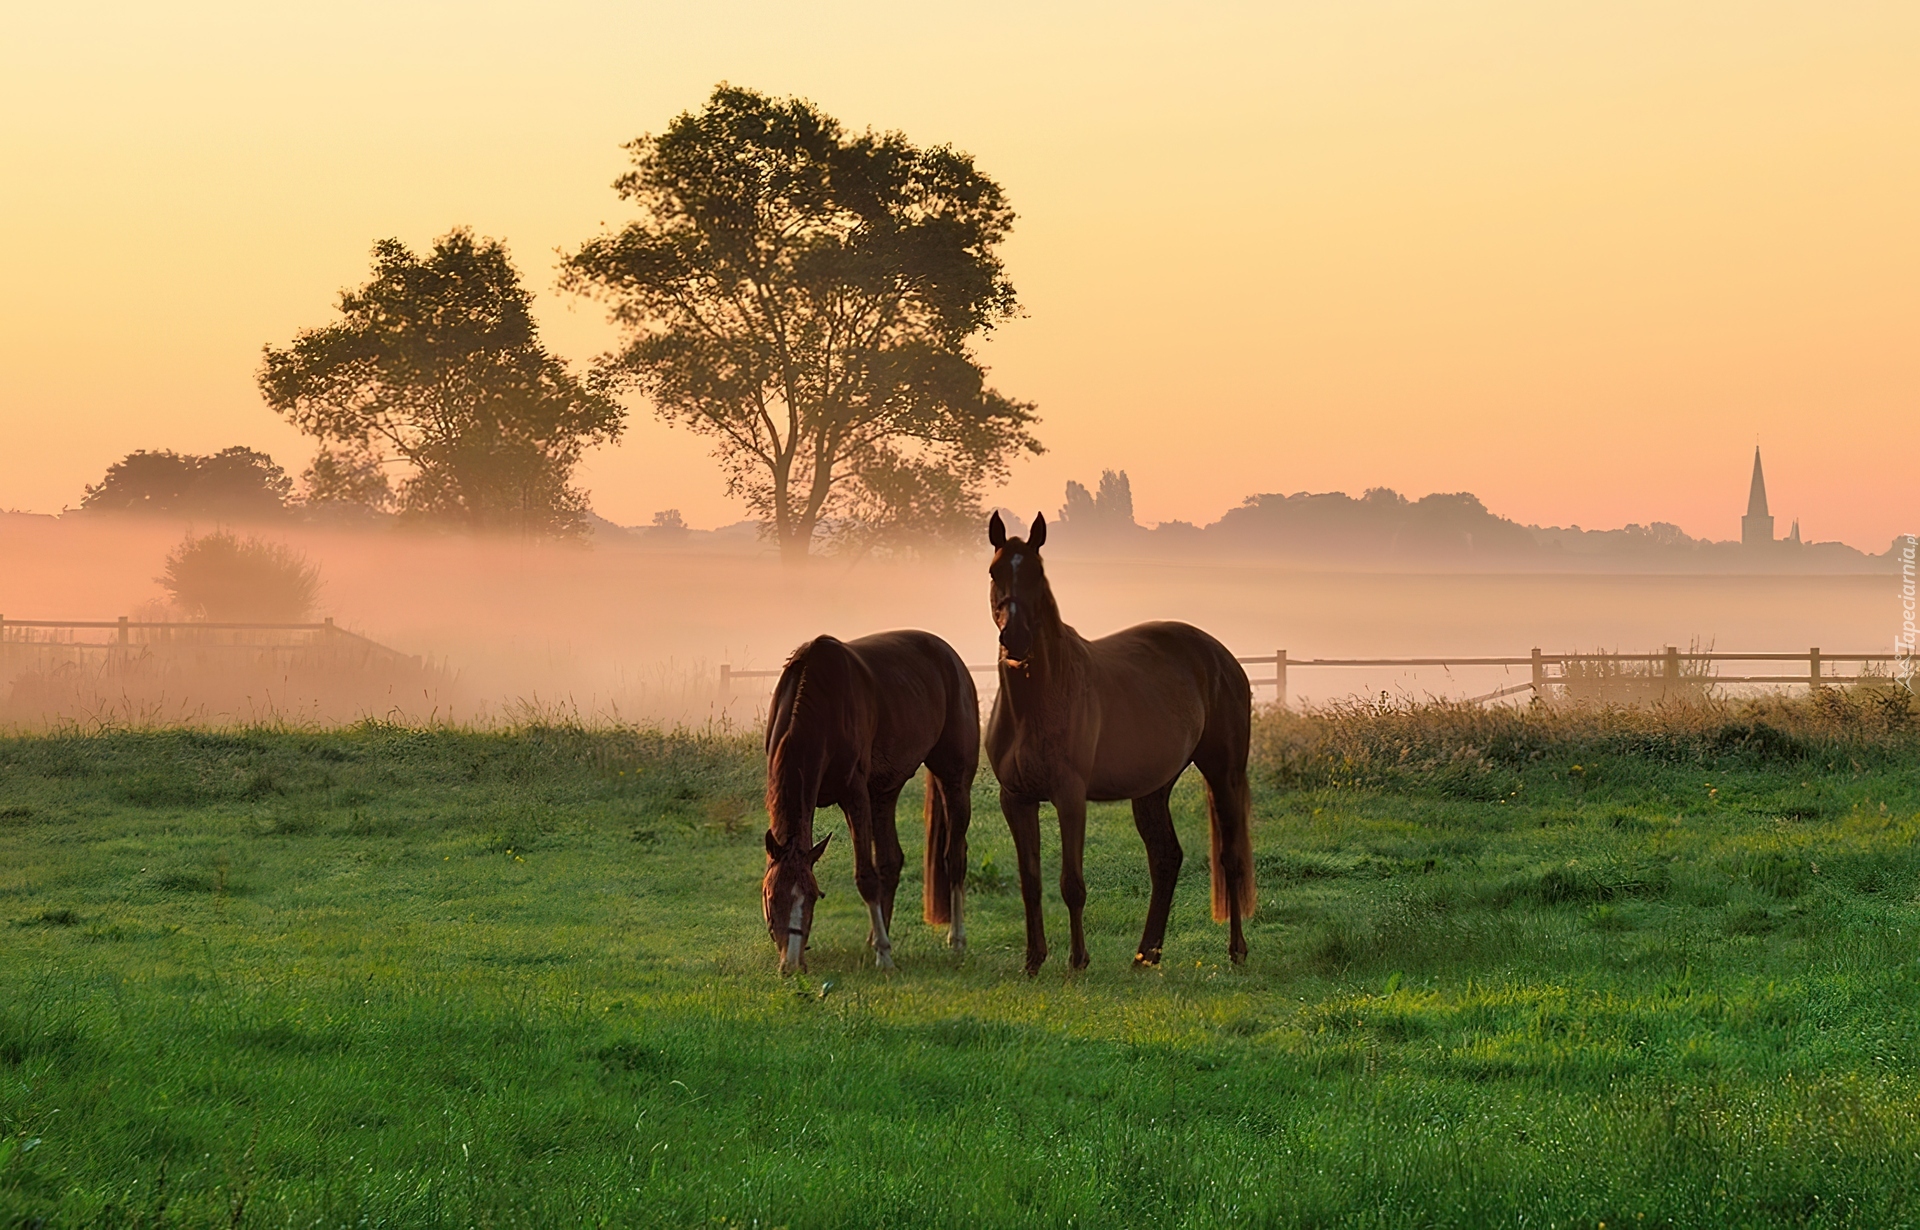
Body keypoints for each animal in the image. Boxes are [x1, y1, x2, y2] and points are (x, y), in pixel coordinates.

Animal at [760, 629, 975, 974]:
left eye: (814, 896)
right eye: (771, 896)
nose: (791, 964)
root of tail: (950, 657)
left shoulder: (854, 796)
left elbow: (866, 875)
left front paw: (884, 955)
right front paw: (880, 943)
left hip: (954, 780)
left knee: (954, 858)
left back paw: (956, 940)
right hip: (885, 793)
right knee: (891, 861)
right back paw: (876, 936)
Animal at [983, 506, 1251, 967]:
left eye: (1038, 572)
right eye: (994, 571)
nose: (1015, 639)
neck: (1036, 702)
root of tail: (1221, 657)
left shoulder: (1070, 796)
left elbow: (1072, 883)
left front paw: (1077, 962)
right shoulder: (1015, 799)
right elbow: (1029, 882)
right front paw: (1034, 961)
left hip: (1224, 775)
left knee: (1230, 859)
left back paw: (1235, 951)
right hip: (1154, 788)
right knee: (1166, 857)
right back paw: (1146, 955)